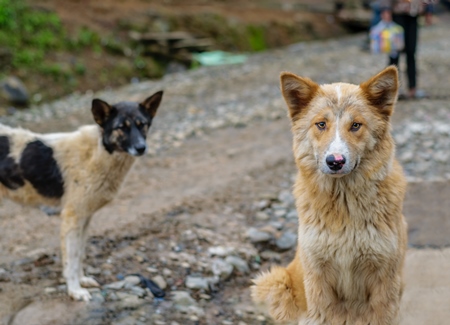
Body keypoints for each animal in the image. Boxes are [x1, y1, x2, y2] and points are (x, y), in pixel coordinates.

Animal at [0, 90, 163, 300]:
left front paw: (82, 280)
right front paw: (75, 291)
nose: (141, 148)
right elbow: (70, 259)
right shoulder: (72, 218)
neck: (98, 152)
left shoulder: (85, 219)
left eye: (142, 124)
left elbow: (79, 255)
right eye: (121, 127)